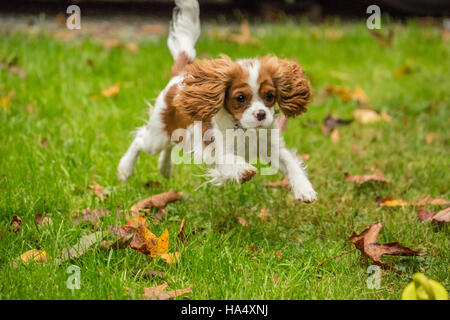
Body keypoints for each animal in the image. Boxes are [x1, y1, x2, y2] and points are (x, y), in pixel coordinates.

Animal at [118, 0, 318, 202]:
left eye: (270, 96)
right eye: (240, 98)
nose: (261, 114)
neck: (244, 128)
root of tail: (180, 75)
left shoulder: (272, 146)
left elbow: (290, 162)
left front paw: (304, 189)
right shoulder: (215, 149)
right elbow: (230, 159)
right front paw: (243, 170)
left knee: (170, 144)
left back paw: (164, 168)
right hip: (157, 134)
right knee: (140, 139)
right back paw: (125, 169)